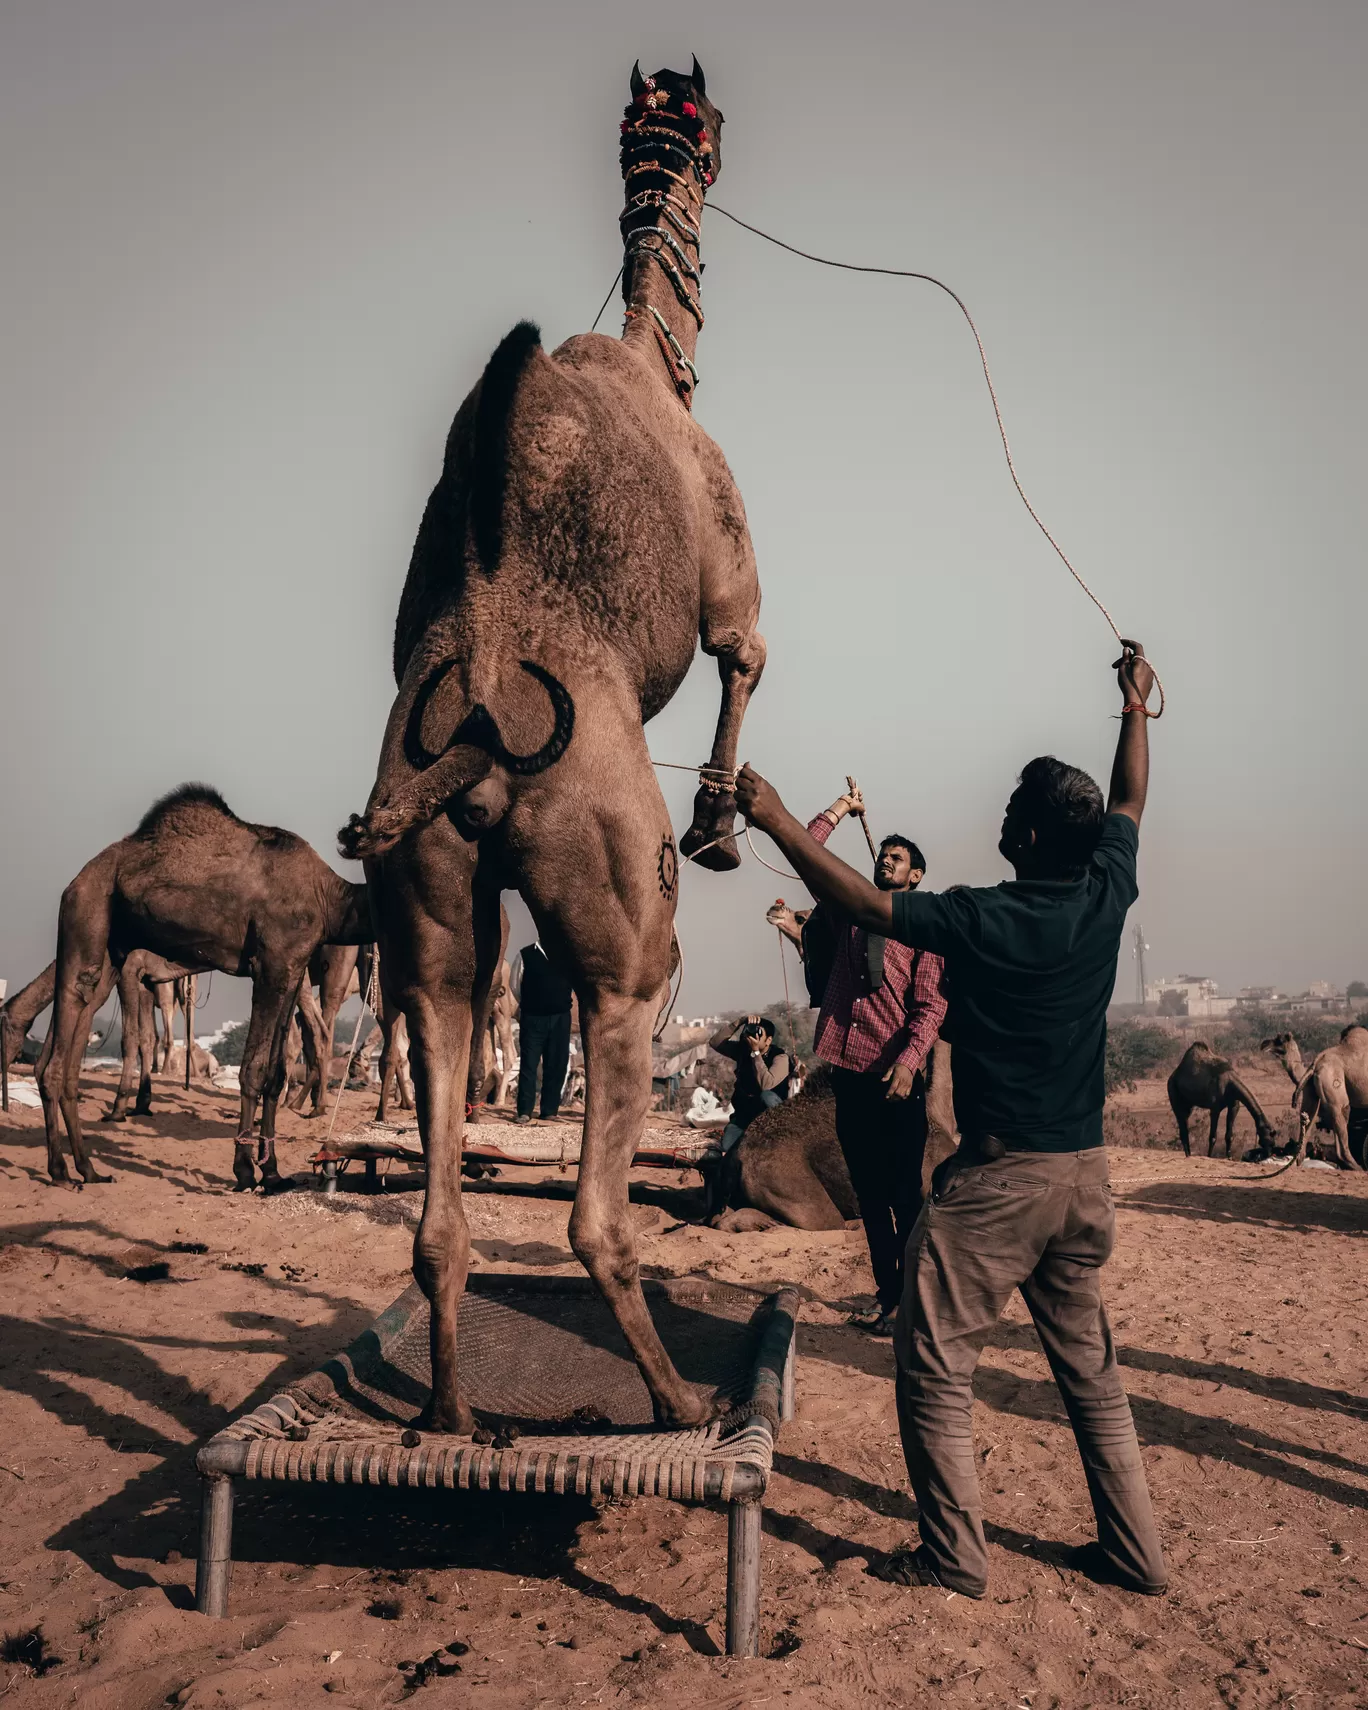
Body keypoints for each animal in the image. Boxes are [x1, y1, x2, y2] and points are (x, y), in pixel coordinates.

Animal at [333, 63, 759, 1429]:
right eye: (706, 127)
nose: (700, 134)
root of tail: (476, 702)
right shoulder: (730, 569)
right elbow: (747, 654)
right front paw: (721, 824)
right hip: (614, 900)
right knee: (595, 1194)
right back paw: (679, 1401)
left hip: (419, 885)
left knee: (439, 1165)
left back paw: (450, 1414)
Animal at [1258, 1019, 1368, 1169]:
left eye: (1280, 1041)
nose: (1264, 1044)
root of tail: (1315, 1063)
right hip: (1333, 1089)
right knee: (1342, 1117)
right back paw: (1357, 1167)